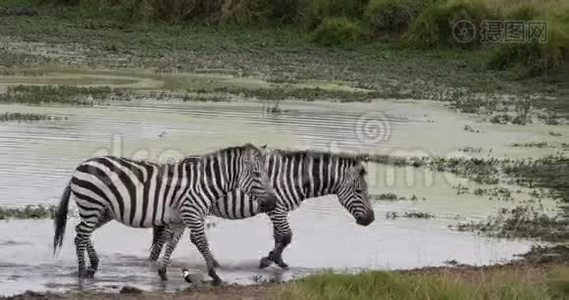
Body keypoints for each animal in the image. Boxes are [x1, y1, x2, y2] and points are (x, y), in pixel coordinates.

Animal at [52, 144, 278, 284]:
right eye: (257, 174)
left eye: (267, 174)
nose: (273, 202)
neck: (203, 184)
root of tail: (81, 166)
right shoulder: (192, 214)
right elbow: (203, 243)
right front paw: (214, 274)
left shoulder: (180, 220)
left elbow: (172, 244)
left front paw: (162, 273)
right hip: (92, 204)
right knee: (81, 236)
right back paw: (82, 271)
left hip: (101, 210)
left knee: (79, 231)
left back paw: (93, 265)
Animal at [149, 149, 374, 270]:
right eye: (359, 190)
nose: (370, 220)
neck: (293, 178)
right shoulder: (278, 209)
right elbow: (287, 236)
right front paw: (268, 260)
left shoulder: (278, 210)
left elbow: (279, 236)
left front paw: (278, 260)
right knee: (170, 236)